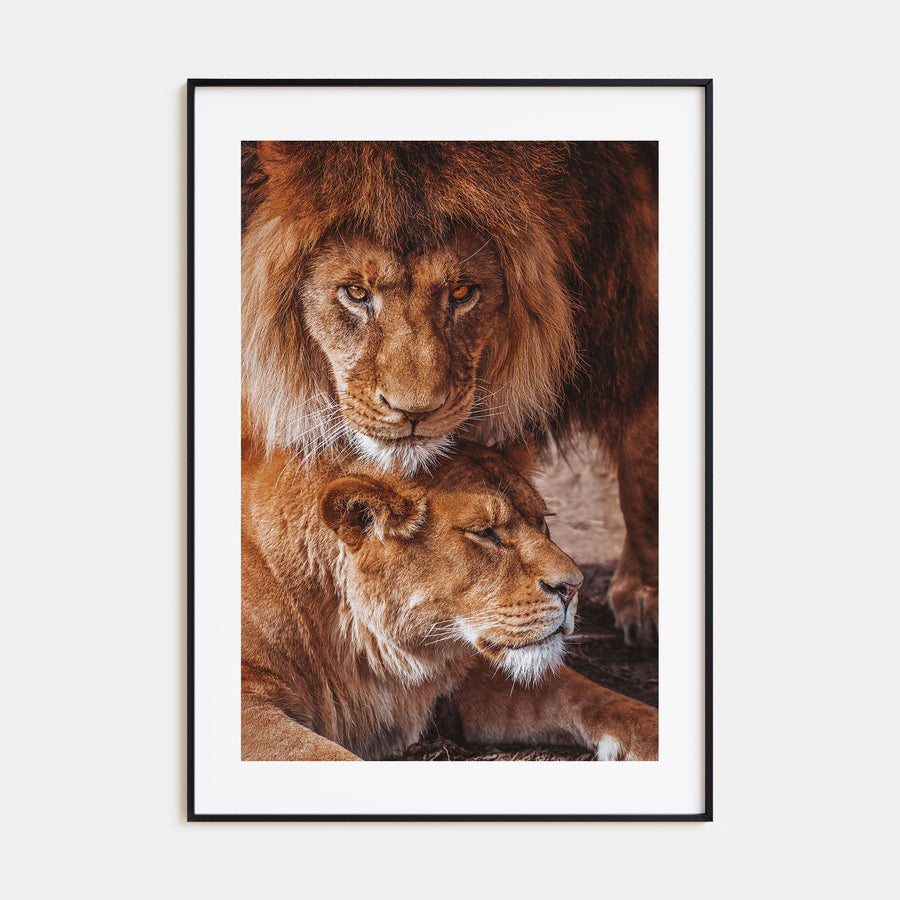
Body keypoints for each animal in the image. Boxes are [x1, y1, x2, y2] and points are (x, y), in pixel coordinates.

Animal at [241, 440, 658, 761]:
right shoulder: (250, 706)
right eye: (484, 532)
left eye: (542, 521)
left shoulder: (473, 673)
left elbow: (607, 702)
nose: (574, 587)